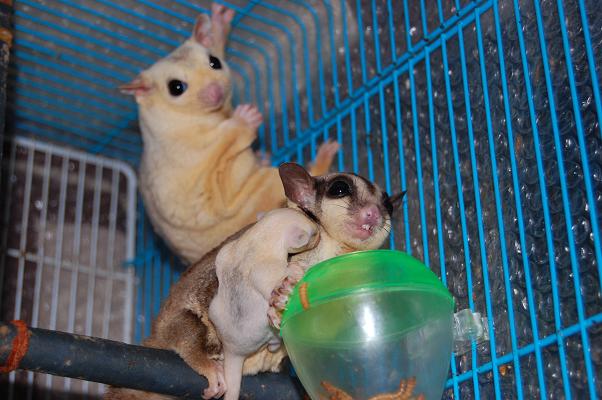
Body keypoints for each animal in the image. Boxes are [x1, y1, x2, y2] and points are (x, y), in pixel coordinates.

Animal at [120, 3, 339, 264]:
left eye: (215, 62)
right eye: (176, 87)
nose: (217, 92)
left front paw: (218, 21)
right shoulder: (200, 153)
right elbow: (227, 143)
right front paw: (249, 115)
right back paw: (327, 150)